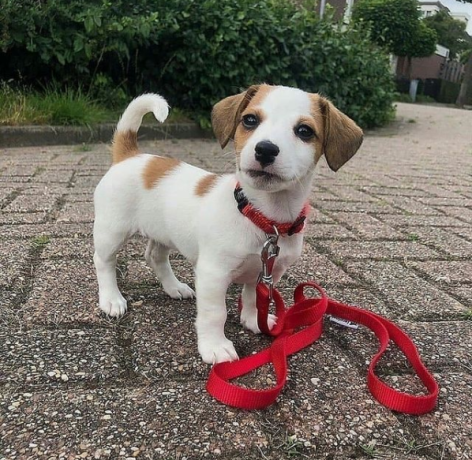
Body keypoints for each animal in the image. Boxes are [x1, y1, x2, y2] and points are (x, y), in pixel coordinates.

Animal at [94, 82, 364, 362]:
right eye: (250, 120)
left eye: (304, 131)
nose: (265, 149)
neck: (262, 217)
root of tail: (130, 155)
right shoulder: (213, 274)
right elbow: (216, 314)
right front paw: (215, 346)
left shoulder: (267, 273)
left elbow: (253, 299)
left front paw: (254, 320)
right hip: (112, 230)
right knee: (104, 261)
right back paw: (111, 299)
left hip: (163, 232)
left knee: (155, 257)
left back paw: (174, 287)